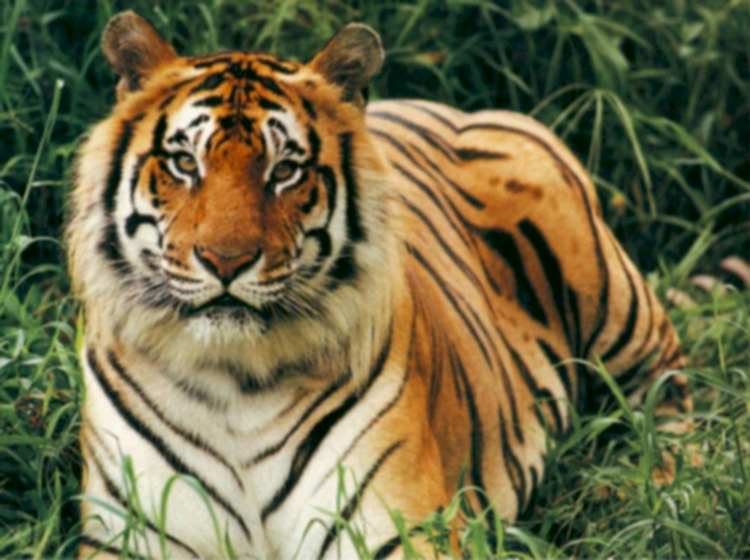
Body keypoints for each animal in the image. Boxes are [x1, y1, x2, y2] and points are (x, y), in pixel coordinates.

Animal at [67, 11, 691, 560]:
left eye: (284, 170)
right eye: (183, 164)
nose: (227, 261)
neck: (234, 384)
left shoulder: (396, 526)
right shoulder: (132, 533)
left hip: (613, 302)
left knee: (668, 390)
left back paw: (651, 484)